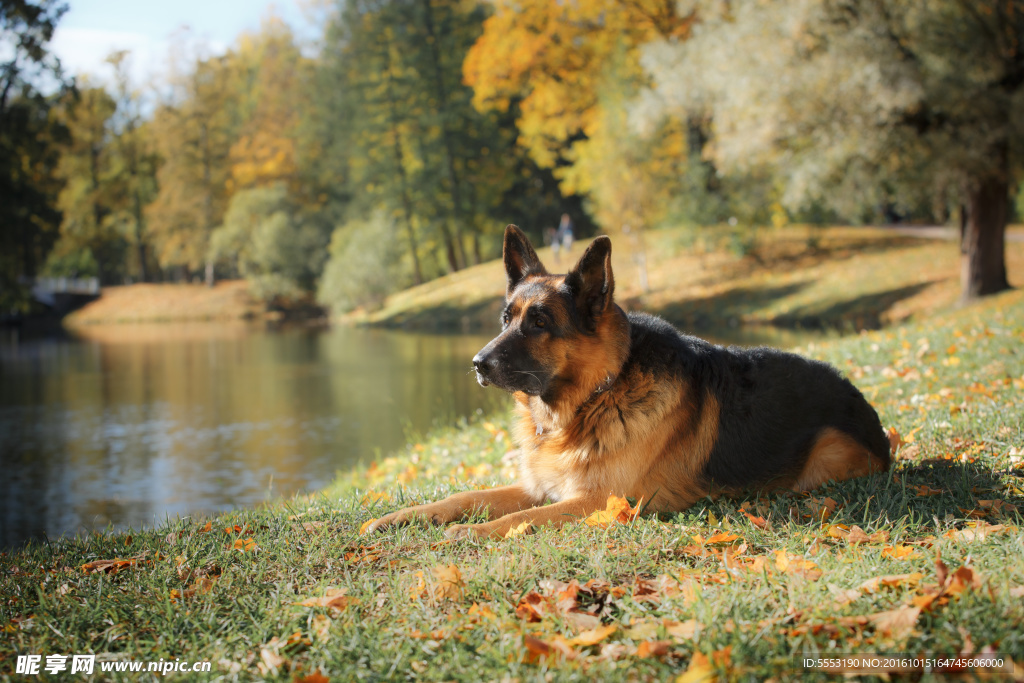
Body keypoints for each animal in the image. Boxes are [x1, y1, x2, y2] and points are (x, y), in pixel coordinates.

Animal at [366, 224, 888, 540]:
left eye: (539, 323)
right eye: (505, 319)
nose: (477, 363)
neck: (597, 396)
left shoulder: (601, 500)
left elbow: (522, 518)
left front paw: (471, 532)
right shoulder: (540, 486)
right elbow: (465, 497)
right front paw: (398, 518)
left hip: (824, 460)